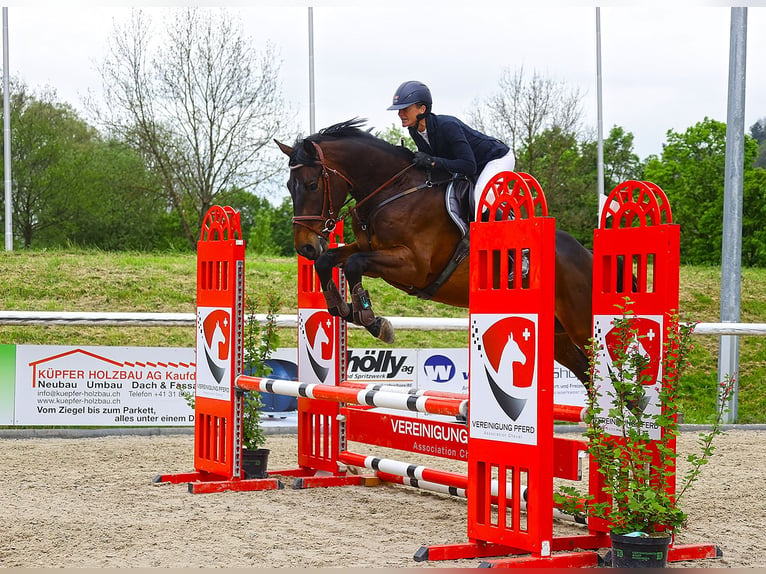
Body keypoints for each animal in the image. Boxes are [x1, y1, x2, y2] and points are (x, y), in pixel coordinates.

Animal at [274, 118, 592, 384]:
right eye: (289, 185)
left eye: (312, 185)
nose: (305, 246)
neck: (392, 191)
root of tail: (586, 255)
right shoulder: (370, 250)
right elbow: (330, 260)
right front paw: (342, 308)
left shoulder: (413, 265)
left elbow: (354, 264)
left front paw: (373, 321)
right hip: (557, 336)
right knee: (586, 372)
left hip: (581, 325)